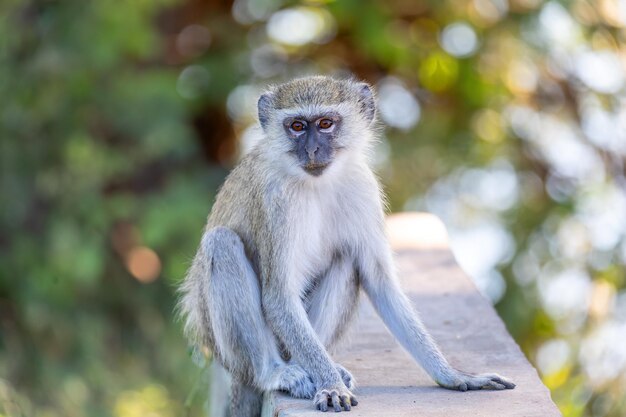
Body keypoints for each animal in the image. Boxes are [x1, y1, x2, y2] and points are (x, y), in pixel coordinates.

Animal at [178, 76, 516, 414]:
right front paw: (330, 385)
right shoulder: (276, 200)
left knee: (346, 259)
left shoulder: (363, 187)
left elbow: (380, 284)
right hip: (228, 350)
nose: (312, 149)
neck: (316, 183)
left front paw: (455, 375)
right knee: (222, 244)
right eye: (297, 126)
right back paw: (276, 372)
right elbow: (279, 297)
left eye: (326, 124)